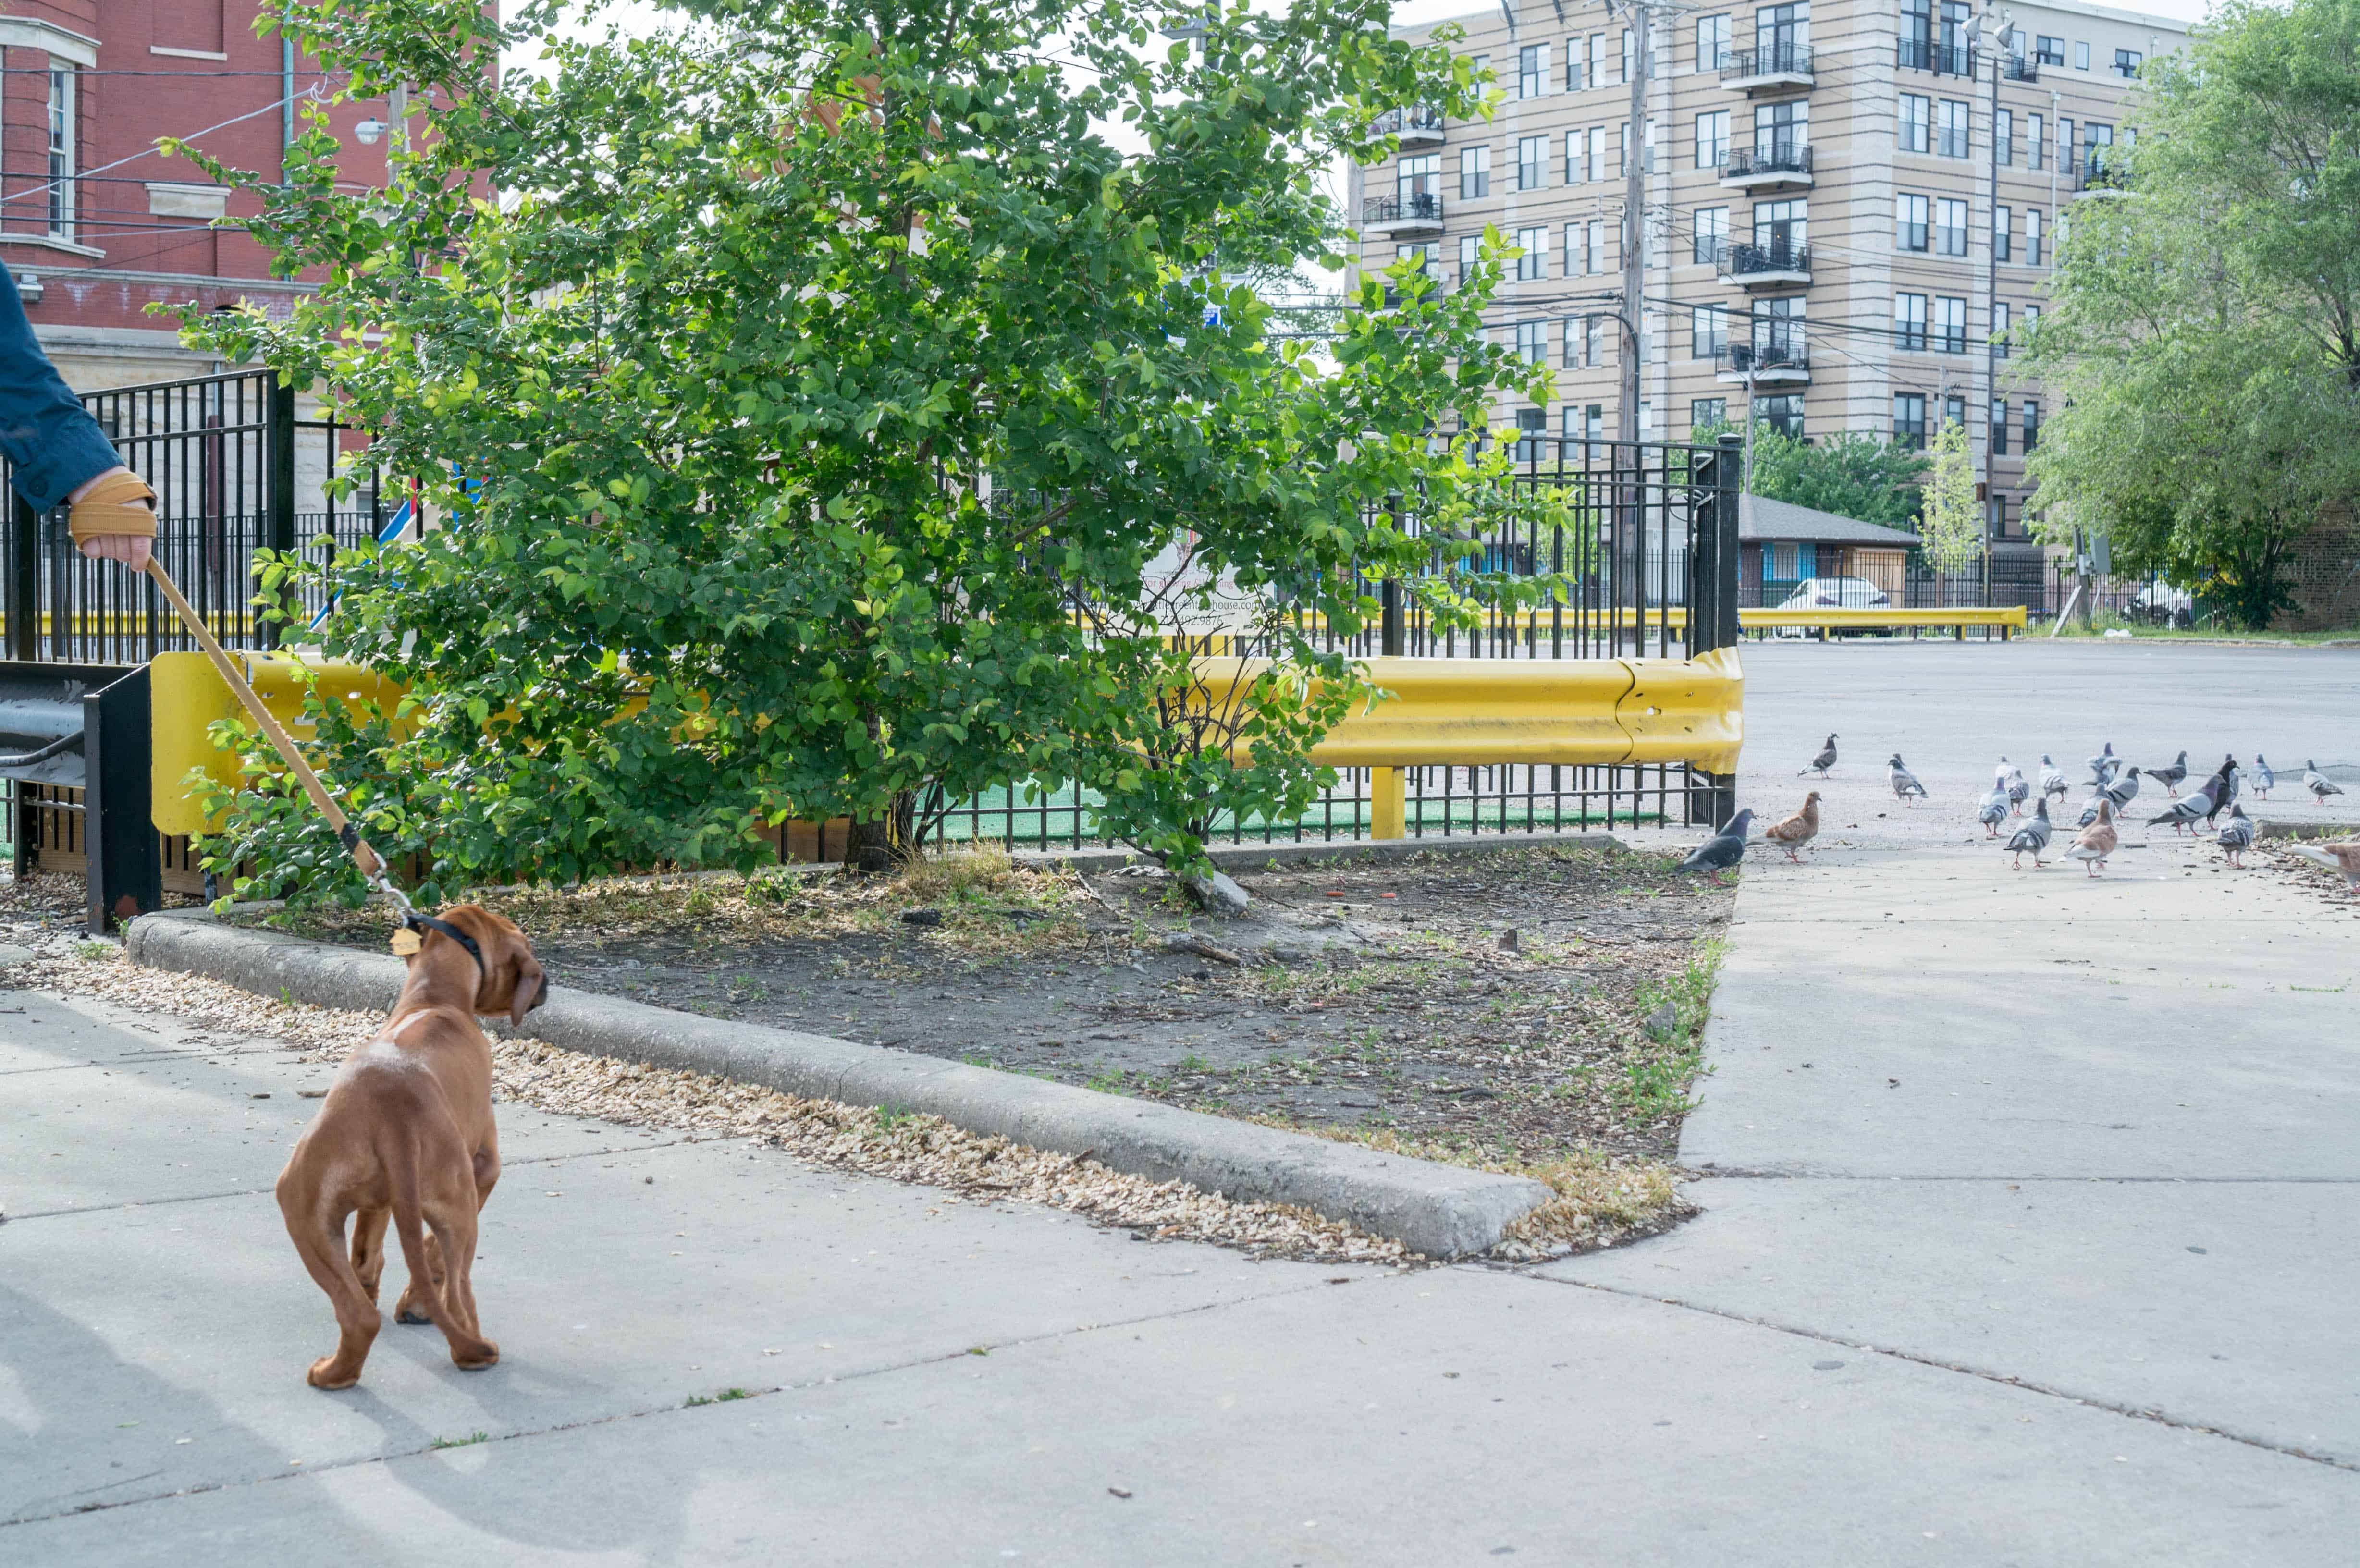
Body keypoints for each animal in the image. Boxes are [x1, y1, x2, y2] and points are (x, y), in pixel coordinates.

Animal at [276, 902, 547, 1388]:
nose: (548, 985)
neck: (434, 999)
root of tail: (393, 1117)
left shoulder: (379, 1204)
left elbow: (368, 1252)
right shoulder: (485, 1168)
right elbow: (430, 1252)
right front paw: (417, 1304)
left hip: (301, 1207)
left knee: (360, 1316)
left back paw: (335, 1372)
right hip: (459, 1205)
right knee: (458, 1293)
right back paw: (473, 1350)